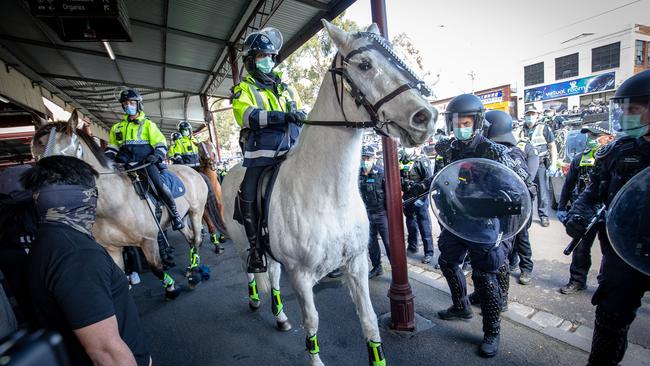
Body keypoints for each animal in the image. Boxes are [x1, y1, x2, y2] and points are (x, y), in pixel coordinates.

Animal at [220, 20, 438, 366]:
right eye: (364, 65)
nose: (425, 117)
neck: (328, 196)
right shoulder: (301, 276)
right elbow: (312, 322)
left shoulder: (356, 264)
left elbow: (369, 321)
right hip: (243, 244)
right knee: (251, 272)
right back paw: (255, 301)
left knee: (274, 277)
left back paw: (280, 316)